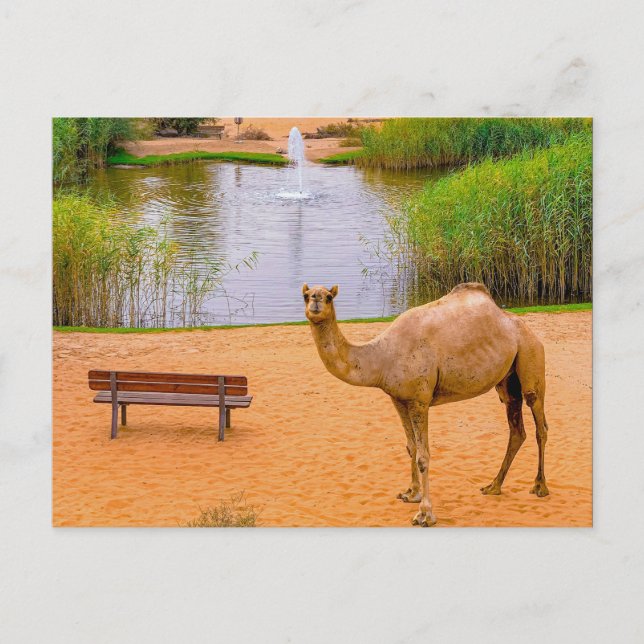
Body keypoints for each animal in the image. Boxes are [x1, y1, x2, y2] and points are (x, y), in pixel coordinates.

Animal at [302, 282, 549, 527]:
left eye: (329, 297)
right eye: (306, 295)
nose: (315, 301)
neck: (382, 357)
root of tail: (527, 330)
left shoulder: (420, 400)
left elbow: (423, 456)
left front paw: (425, 514)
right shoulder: (399, 399)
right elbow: (411, 447)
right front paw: (411, 494)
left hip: (531, 356)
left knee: (540, 423)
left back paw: (540, 487)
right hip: (507, 381)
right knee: (517, 429)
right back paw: (493, 486)